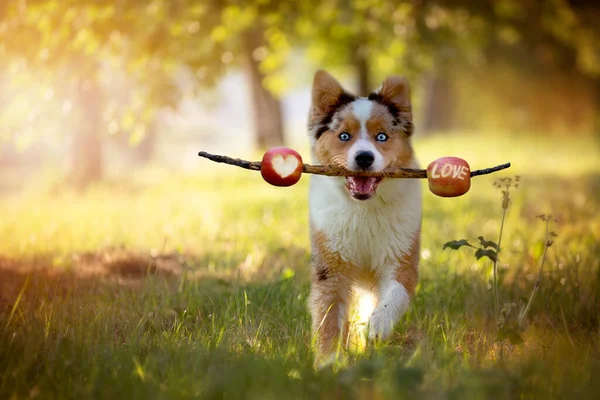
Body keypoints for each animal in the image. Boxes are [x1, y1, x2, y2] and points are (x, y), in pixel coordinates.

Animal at [308, 69, 420, 366]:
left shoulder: (402, 256)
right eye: (344, 136)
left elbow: (395, 293)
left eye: (381, 137)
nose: (364, 158)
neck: (364, 209)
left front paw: (377, 326)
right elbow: (328, 316)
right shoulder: (330, 266)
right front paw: (328, 363)